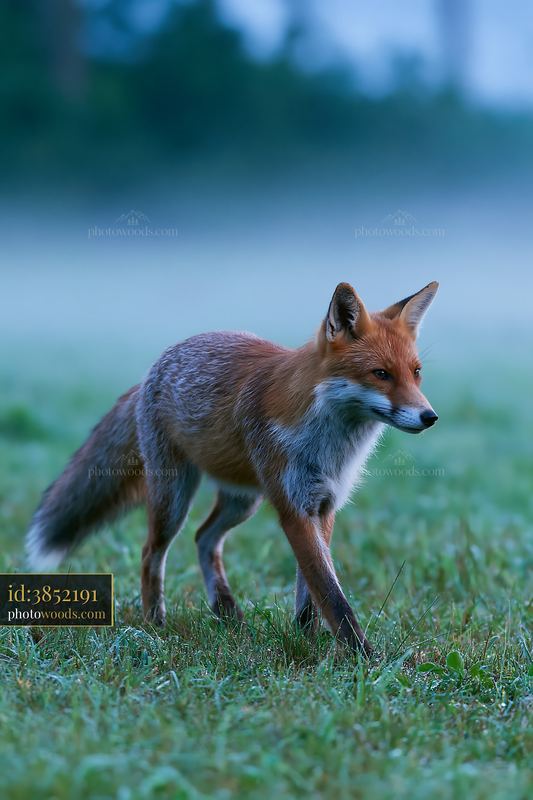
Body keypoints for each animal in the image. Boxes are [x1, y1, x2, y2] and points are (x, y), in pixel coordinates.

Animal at [27, 280, 439, 656]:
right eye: (381, 374)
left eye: (416, 373)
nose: (429, 416)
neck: (330, 443)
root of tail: (151, 371)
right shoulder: (293, 507)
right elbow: (331, 593)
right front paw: (364, 657)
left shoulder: (324, 504)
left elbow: (311, 590)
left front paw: (307, 638)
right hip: (174, 499)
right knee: (150, 553)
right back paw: (155, 624)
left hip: (243, 501)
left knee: (204, 538)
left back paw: (225, 610)